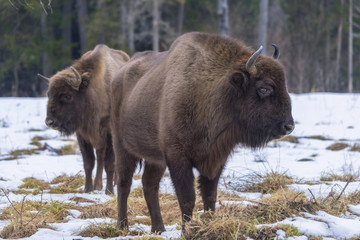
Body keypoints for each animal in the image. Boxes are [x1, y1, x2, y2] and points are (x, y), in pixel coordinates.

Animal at [39, 44, 129, 195]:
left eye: (67, 95)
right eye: (49, 94)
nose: (50, 122)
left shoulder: (109, 134)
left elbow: (110, 164)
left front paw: (109, 191)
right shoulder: (83, 135)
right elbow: (89, 163)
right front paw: (88, 189)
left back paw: (115, 183)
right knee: (99, 157)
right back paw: (98, 185)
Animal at [111, 32, 294, 232]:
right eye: (264, 88)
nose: (289, 126)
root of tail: (119, 74)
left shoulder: (216, 158)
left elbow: (209, 195)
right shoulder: (178, 157)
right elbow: (187, 198)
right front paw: (187, 231)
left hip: (155, 159)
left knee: (149, 184)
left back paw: (159, 228)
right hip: (122, 147)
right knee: (124, 183)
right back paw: (123, 226)